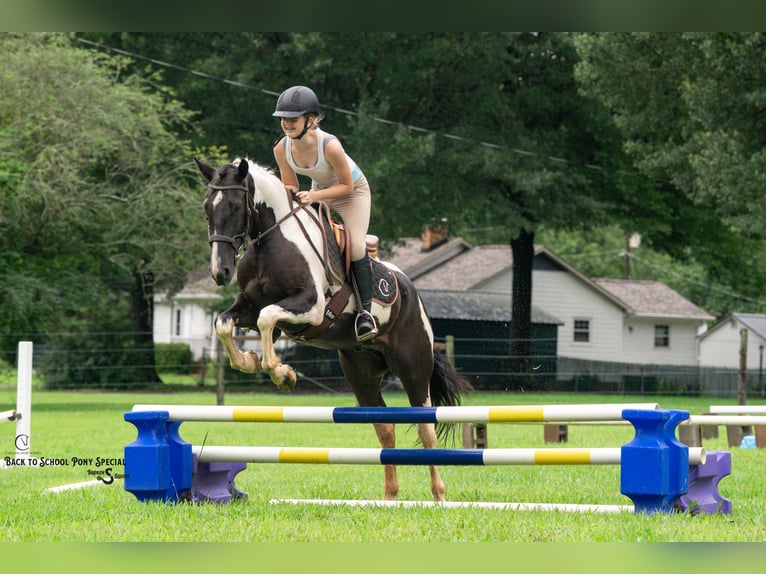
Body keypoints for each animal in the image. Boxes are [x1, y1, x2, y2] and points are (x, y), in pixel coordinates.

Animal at [194, 157, 473, 501]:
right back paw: (389, 498)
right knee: (385, 429)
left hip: (413, 368)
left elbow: (267, 319)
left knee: (426, 428)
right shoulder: (248, 304)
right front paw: (248, 361)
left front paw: (282, 374)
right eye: (207, 207)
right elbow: (224, 323)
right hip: (361, 373)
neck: (272, 241)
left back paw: (438, 495)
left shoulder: (310, 307)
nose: (220, 272)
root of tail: (414, 293)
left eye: (235, 206)